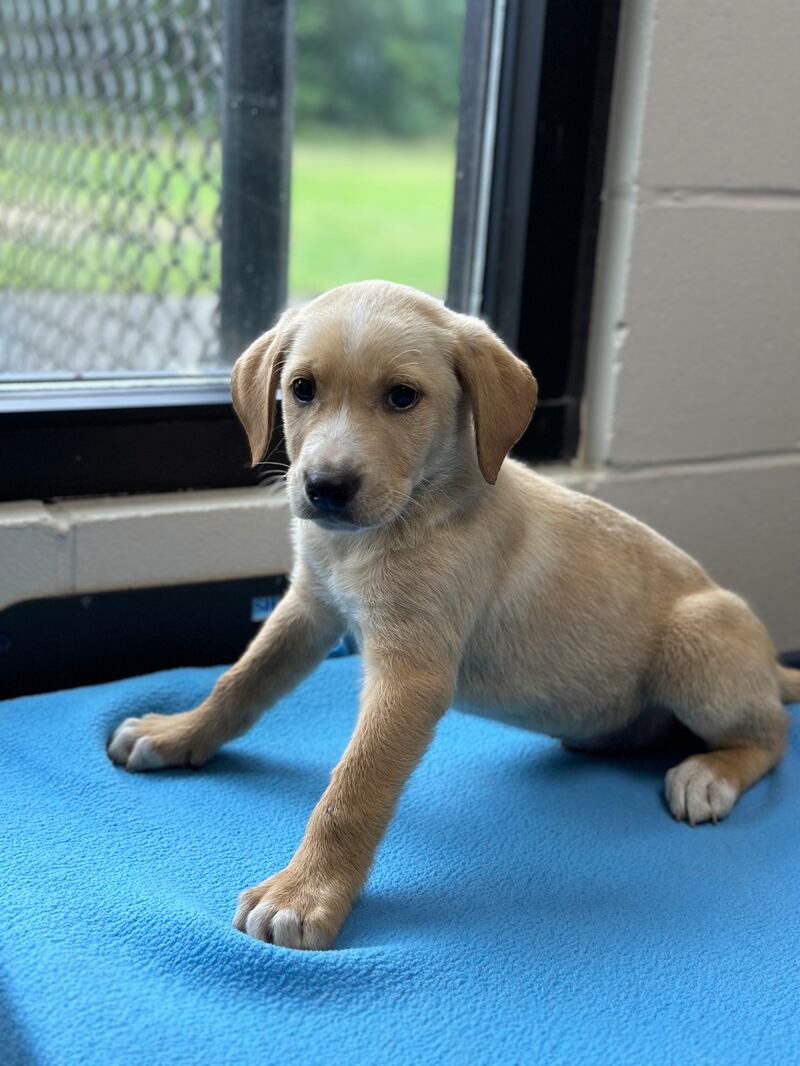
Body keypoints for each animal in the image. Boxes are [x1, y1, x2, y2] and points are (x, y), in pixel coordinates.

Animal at [108, 280, 799, 950]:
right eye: (302, 389)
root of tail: (769, 665)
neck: (408, 512)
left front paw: (302, 894)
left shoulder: (410, 678)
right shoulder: (309, 609)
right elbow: (239, 682)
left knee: (769, 736)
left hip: (697, 639)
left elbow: (352, 789)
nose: (326, 488)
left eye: (402, 397)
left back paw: (709, 774)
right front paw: (177, 733)